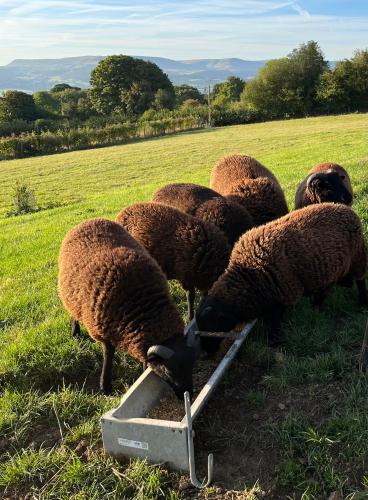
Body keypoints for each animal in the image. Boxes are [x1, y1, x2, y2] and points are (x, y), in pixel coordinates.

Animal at [58, 219, 196, 398]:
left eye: (192, 364)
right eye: (168, 371)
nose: (189, 395)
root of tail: (89, 220)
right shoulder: (102, 330)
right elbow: (108, 355)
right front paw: (105, 387)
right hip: (71, 296)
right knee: (73, 313)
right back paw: (75, 331)